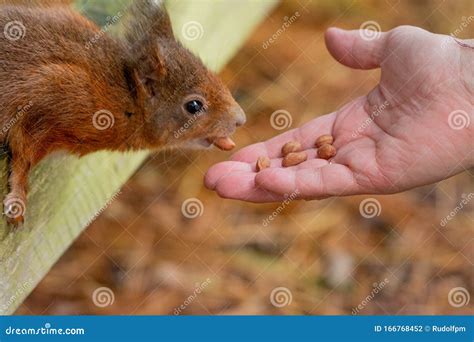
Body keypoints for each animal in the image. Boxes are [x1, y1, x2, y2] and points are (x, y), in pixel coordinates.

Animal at [0, 0, 244, 224]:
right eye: (193, 106)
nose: (240, 119)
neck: (126, 97)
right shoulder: (51, 94)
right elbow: (23, 151)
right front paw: (18, 196)